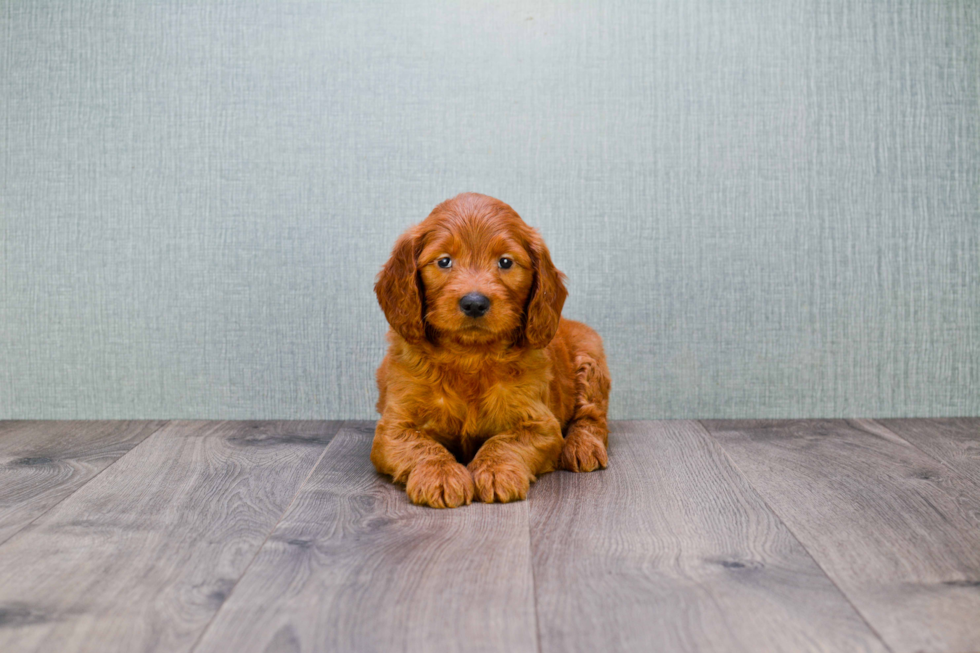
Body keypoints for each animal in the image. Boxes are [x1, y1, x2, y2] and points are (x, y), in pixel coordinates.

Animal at [372, 191, 608, 506]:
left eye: (505, 262)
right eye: (444, 261)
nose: (474, 303)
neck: (470, 356)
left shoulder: (541, 424)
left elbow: (504, 442)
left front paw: (497, 472)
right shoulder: (392, 428)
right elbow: (422, 445)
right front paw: (441, 475)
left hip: (590, 356)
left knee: (593, 417)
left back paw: (583, 446)